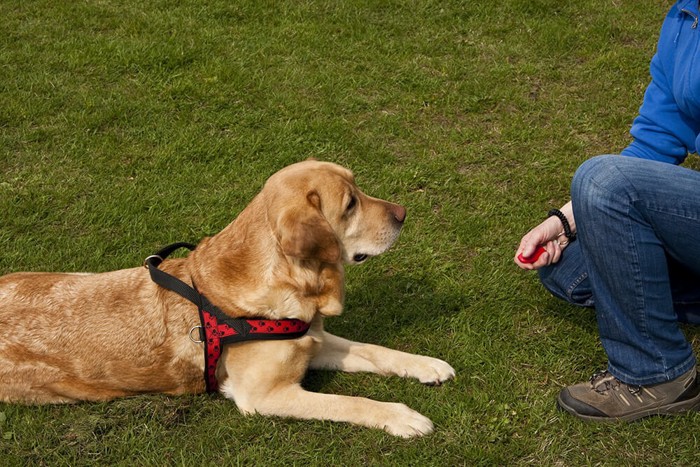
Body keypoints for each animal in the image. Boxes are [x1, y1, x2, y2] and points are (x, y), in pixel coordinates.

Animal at [0, 161, 454, 438]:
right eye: (350, 204)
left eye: (358, 187)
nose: (403, 213)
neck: (293, 281)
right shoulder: (265, 396)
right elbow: (350, 402)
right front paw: (400, 416)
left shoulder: (315, 340)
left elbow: (377, 350)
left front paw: (427, 365)